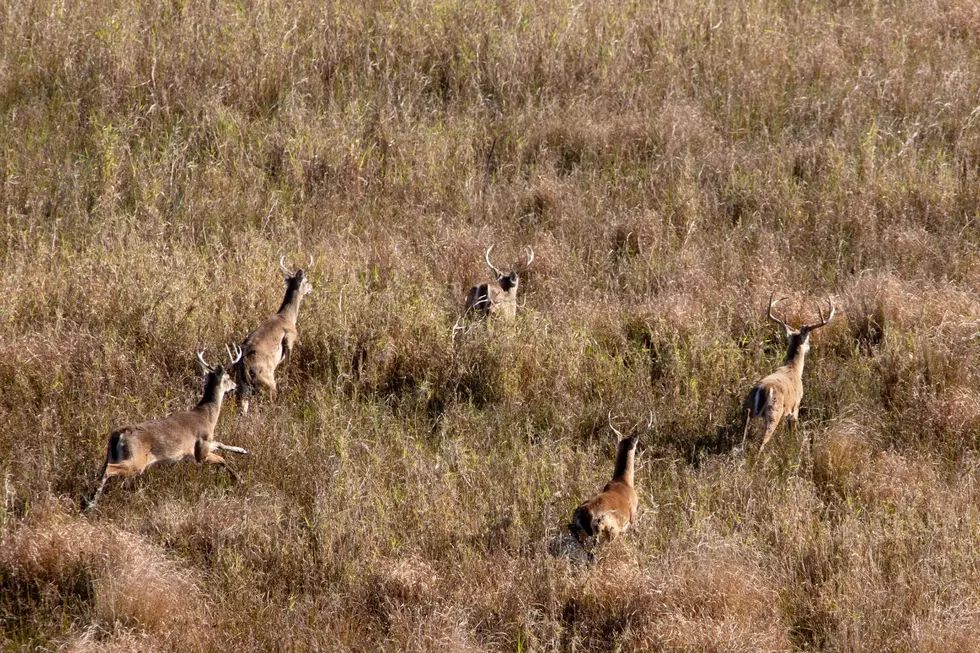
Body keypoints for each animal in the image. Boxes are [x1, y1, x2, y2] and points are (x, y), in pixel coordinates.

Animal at [85, 346, 247, 511]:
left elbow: (220, 444)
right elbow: (221, 458)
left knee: (104, 468)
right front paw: (239, 479)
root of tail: (120, 434)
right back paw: (91, 504)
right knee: (109, 469)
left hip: (113, 455)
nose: (235, 385)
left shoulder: (194, 449)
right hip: (136, 460)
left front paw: (242, 450)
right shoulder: (200, 449)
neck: (207, 416)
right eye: (228, 377)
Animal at [233, 255, 313, 414]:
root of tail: (244, 365)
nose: (312, 287)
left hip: (242, 387)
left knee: (243, 408)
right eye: (306, 280)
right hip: (268, 381)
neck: (286, 317)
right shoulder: (290, 338)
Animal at [741, 291, 836, 453]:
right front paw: (794, 446)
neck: (793, 369)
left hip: (747, 410)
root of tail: (762, 390)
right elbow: (794, 430)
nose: (809, 348)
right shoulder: (796, 406)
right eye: (808, 340)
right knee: (762, 441)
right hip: (774, 413)